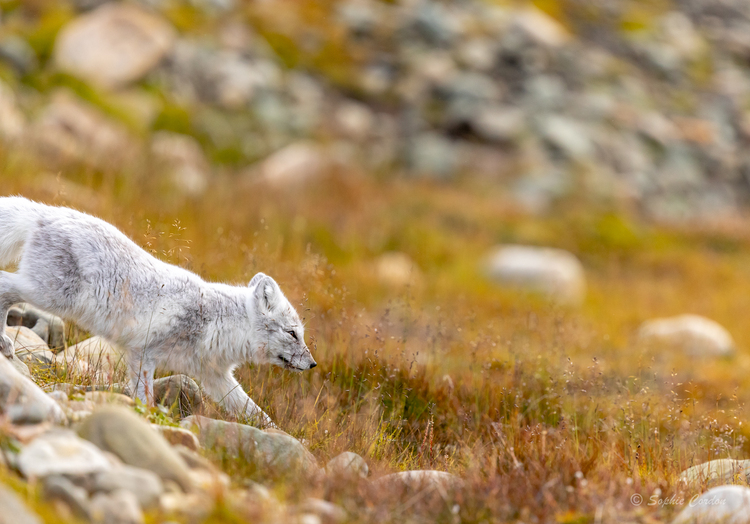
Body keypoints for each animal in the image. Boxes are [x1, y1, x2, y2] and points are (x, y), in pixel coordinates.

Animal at [0, 196, 316, 426]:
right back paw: (3, 341)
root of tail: (44, 212)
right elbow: (145, 398)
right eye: (292, 333)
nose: (313, 364)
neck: (215, 321)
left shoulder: (215, 377)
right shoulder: (143, 354)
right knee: (4, 284)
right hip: (50, 295)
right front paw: (147, 420)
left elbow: (256, 412)